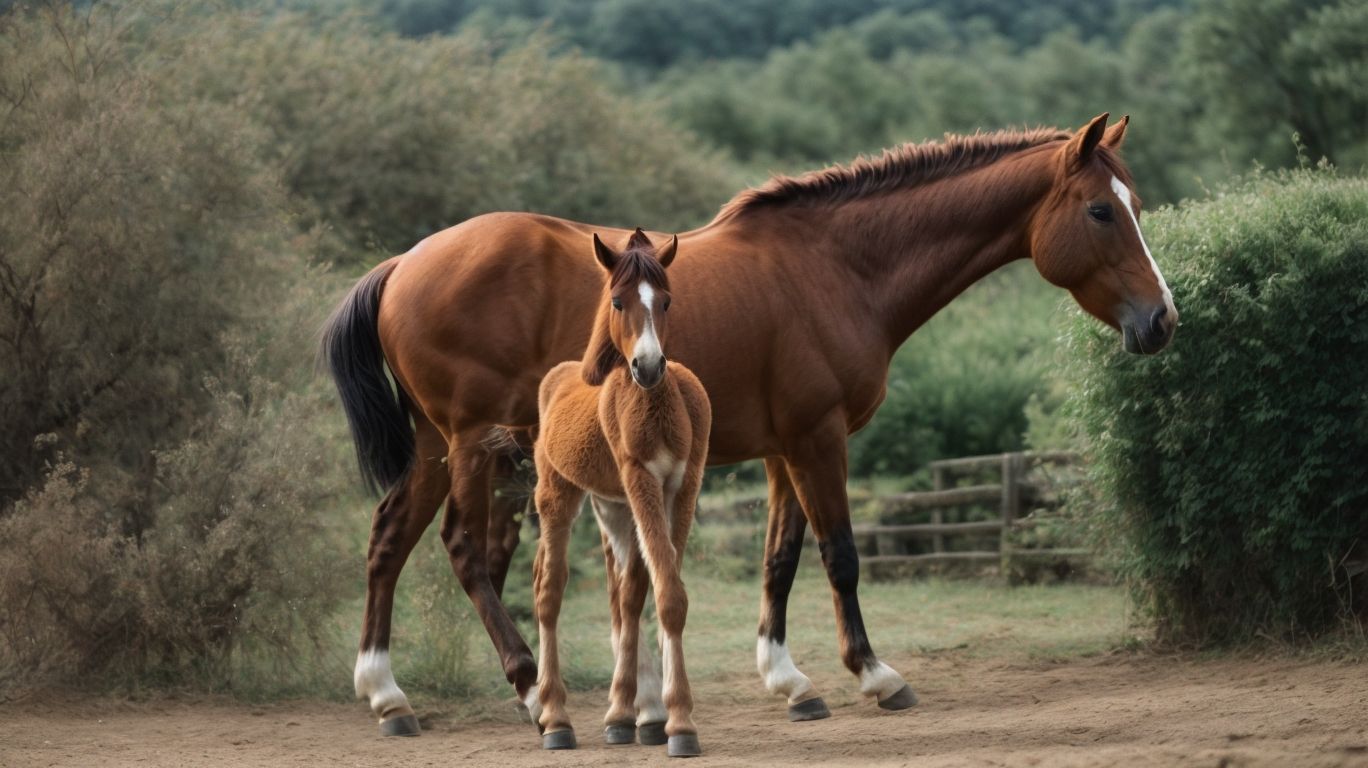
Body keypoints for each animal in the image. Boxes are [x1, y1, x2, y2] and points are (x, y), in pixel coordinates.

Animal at [531, 228, 709, 757]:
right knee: (549, 588)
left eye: (666, 300)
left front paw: (657, 716)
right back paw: (556, 719)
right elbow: (667, 593)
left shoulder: (683, 484)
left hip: (612, 507)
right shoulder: (641, 479)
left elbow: (660, 590)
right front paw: (680, 723)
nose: (648, 366)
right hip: (558, 495)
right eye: (617, 300)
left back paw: (622, 716)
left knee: (623, 594)